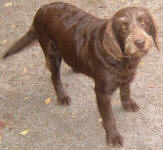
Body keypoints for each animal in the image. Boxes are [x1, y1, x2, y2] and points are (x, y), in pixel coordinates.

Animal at [3, 2, 160, 148]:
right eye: (123, 27)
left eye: (143, 22)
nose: (140, 42)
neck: (121, 58)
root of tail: (41, 9)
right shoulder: (101, 92)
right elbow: (109, 118)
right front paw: (113, 137)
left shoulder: (128, 76)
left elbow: (125, 90)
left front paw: (128, 104)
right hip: (51, 52)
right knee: (54, 77)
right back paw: (62, 97)